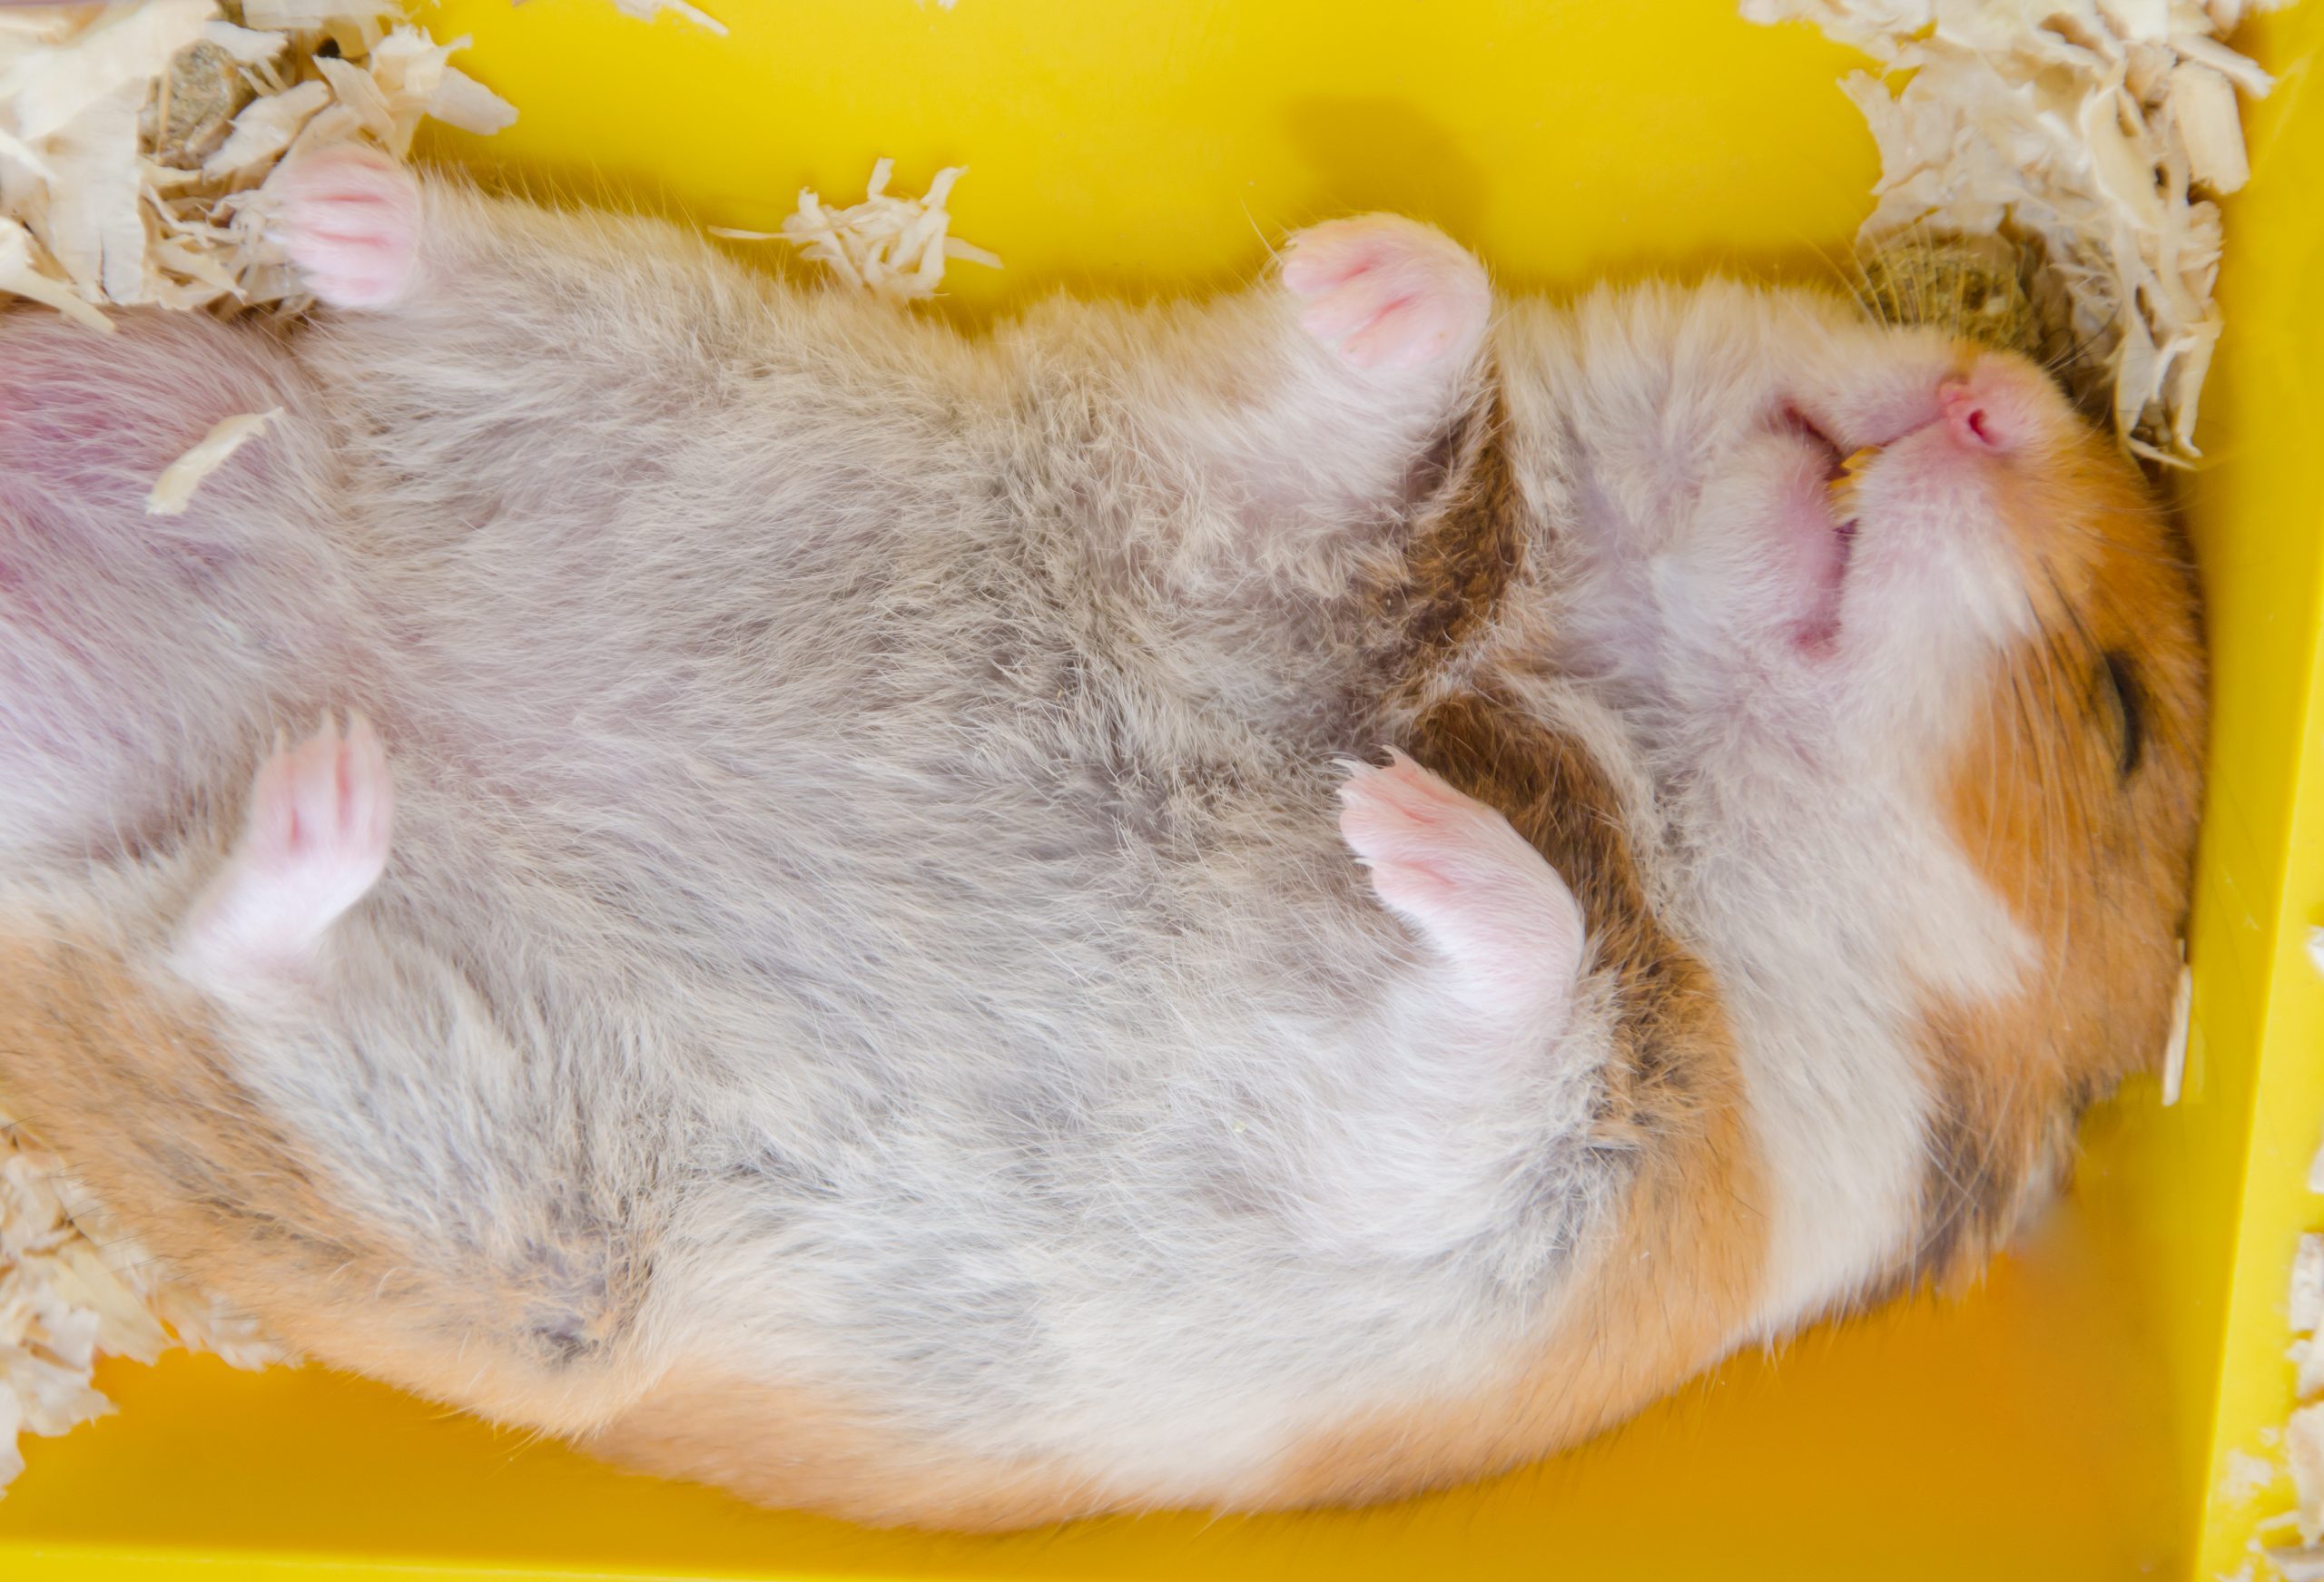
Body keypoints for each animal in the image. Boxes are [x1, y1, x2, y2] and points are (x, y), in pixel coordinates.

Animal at [0, 144, 2203, 1528]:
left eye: (2116, 716)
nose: (1977, 393)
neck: (1597, 697)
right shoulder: (1244, 524)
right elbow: (1407, 408)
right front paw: (1379, 263)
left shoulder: (1561, 1200)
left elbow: (1531, 973)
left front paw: (1401, 824)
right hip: (625, 390)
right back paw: (331, 183)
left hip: (488, 1187)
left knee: (219, 956)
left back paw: (321, 795)